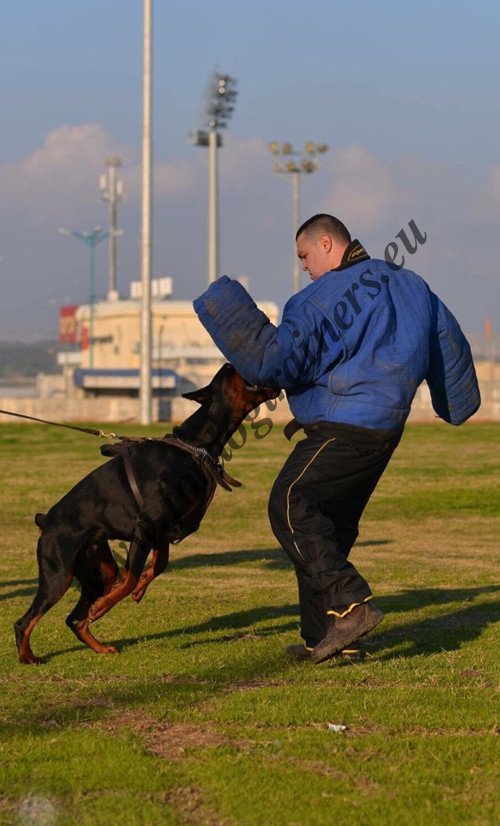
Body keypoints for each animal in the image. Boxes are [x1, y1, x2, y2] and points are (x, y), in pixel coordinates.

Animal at [14, 364, 278, 660]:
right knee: (24, 622)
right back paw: (28, 657)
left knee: (74, 618)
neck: (195, 447)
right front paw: (105, 605)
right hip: (58, 573)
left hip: (98, 570)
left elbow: (158, 565)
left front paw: (140, 587)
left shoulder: (161, 532)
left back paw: (100, 646)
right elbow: (129, 578)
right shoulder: (145, 526)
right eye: (228, 372)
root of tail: (45, 521)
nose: (228, 363)